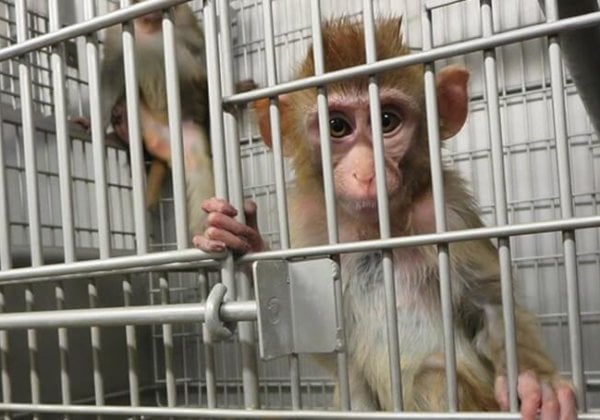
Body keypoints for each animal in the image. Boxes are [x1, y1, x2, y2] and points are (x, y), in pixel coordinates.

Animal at [196, 15, 576, 416]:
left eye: (388, 120)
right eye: (337, 127)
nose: (367, 171)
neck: (374, 228)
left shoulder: (446, 212)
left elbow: (490, 303)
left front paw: (539, 381)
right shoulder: (313, 222)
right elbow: (321, 338)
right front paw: (240, 237)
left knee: (432, 377)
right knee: (356, 384)